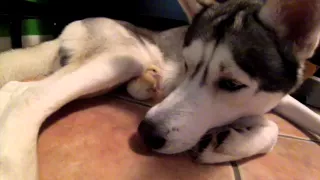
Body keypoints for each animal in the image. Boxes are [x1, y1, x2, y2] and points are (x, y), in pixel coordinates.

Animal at [0, 0, 320, 179]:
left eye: (232, 84)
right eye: (187, 65)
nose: (146, 133)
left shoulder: (278, 96)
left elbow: (287, 118)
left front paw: (233, 138)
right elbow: (273, 128)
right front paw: (236, 139)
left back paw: (147, 81)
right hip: (124, 58)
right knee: (26, 94)